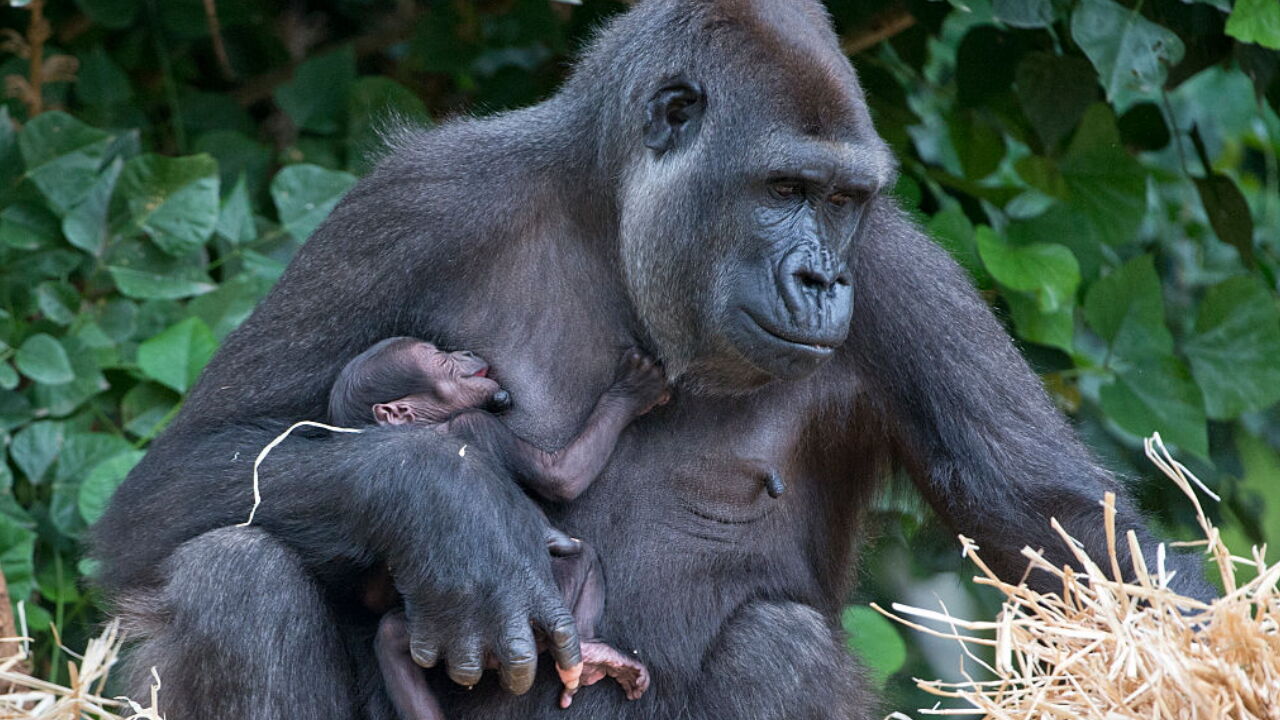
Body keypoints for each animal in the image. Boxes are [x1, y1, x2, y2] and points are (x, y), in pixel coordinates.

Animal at [327, 335, 670, 712]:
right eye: (439, 359)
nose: (462, 352)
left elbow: (371, 592)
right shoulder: (475, 423)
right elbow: (561, 477)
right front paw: (631, 391)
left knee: (390, 638)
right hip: (526, 624)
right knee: (583, 559)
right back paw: (592, 651)